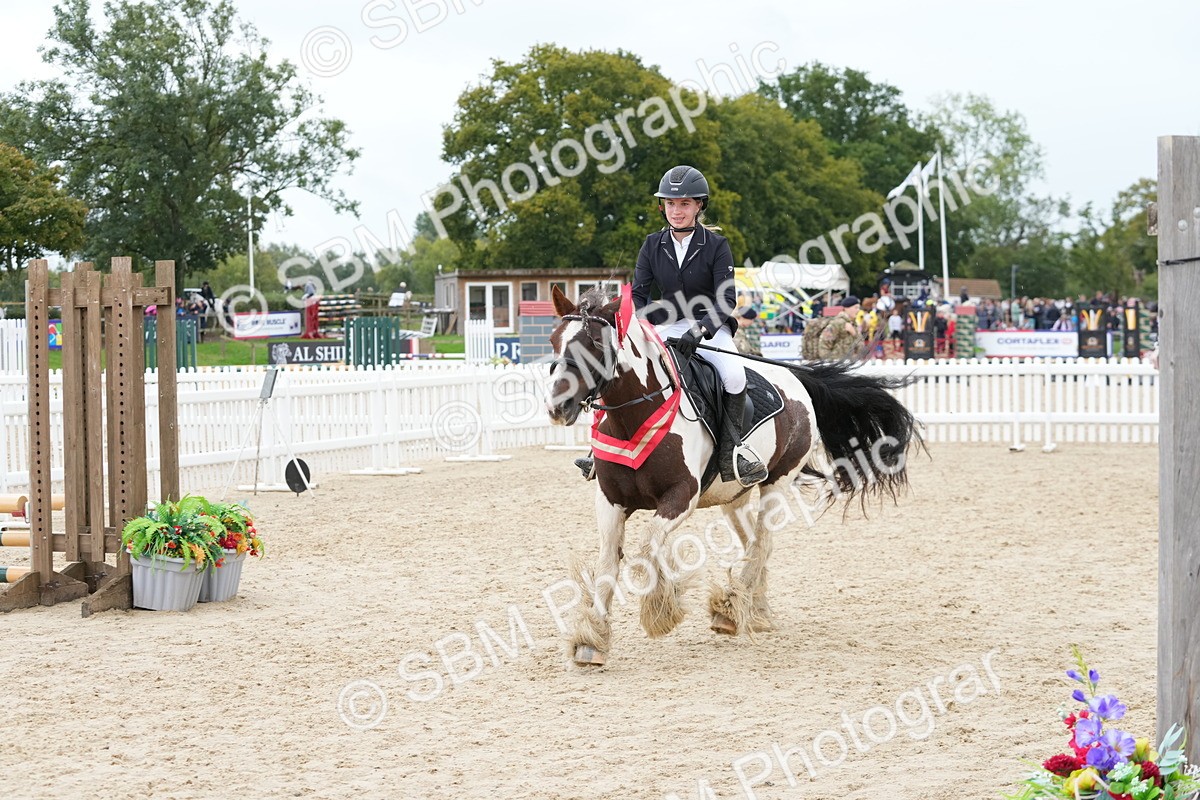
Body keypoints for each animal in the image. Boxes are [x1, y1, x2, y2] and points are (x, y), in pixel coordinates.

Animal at [544, 285, 921, 666]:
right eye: (554, 339)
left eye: (595, 343)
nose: (557, 407)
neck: (635, 416)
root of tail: (796, 378)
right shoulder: (610, 500)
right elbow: (609, 562)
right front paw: (592, 640)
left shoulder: (681, 496)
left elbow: (648, 544)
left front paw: (662, 610)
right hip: (734, 497)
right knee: (753, 542)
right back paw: (755, 609)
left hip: (777, 482)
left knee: (763, 541)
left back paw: (729, 609)